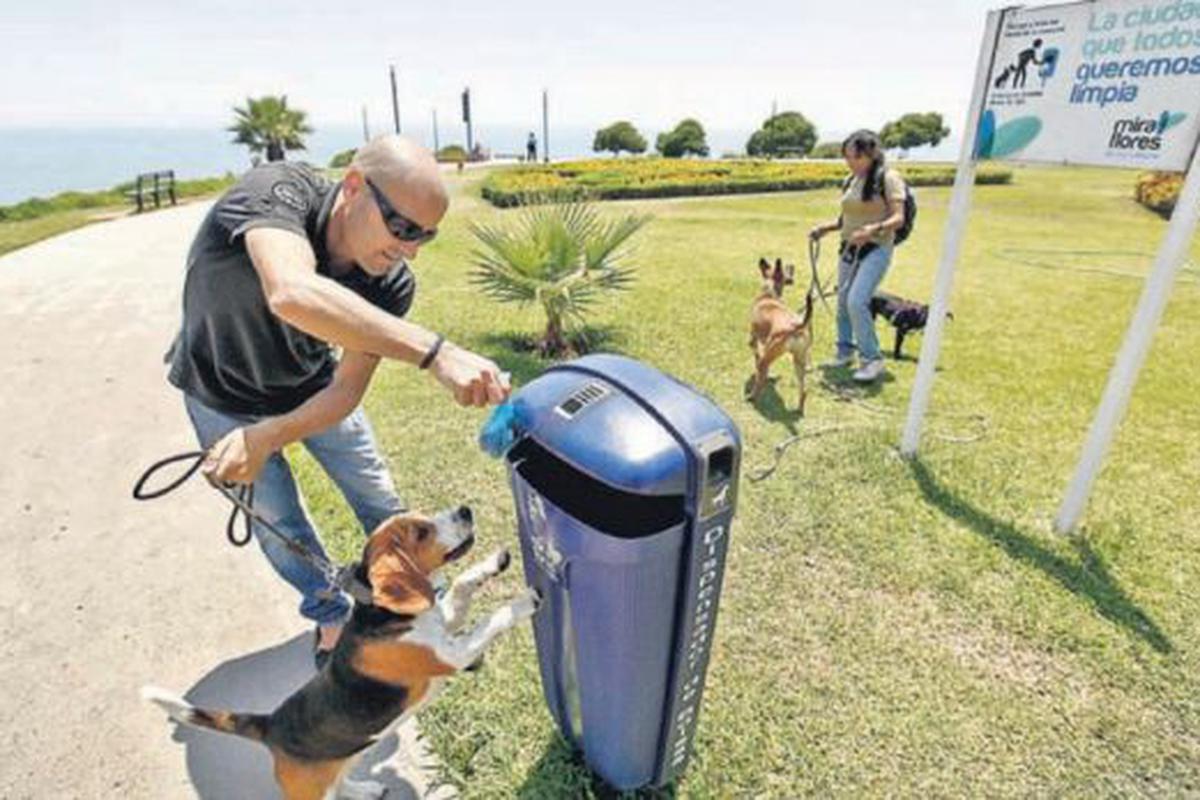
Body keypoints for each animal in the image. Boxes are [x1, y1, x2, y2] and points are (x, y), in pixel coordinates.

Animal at [140, 510, 540, 796]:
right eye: (420, 532)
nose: (464, 510)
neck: (382, 612)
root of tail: (271, 724)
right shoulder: (450, 654)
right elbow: (489, 621)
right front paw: (522, 602)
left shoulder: (444, 622)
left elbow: (460, 586)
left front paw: (491, 563)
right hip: (311, 791)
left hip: (343, 758)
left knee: (342, 781)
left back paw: (364, 789)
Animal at [748, 257, 816, 412]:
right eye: (787, 269)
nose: (792, 265)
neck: (769, 293)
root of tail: (796, 326)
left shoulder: (753, 338)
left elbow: (756, 354)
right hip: (799, 361)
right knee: (803, 390)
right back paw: (799, 409)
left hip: (771, 355)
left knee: (760, 376)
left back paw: (752, 396)